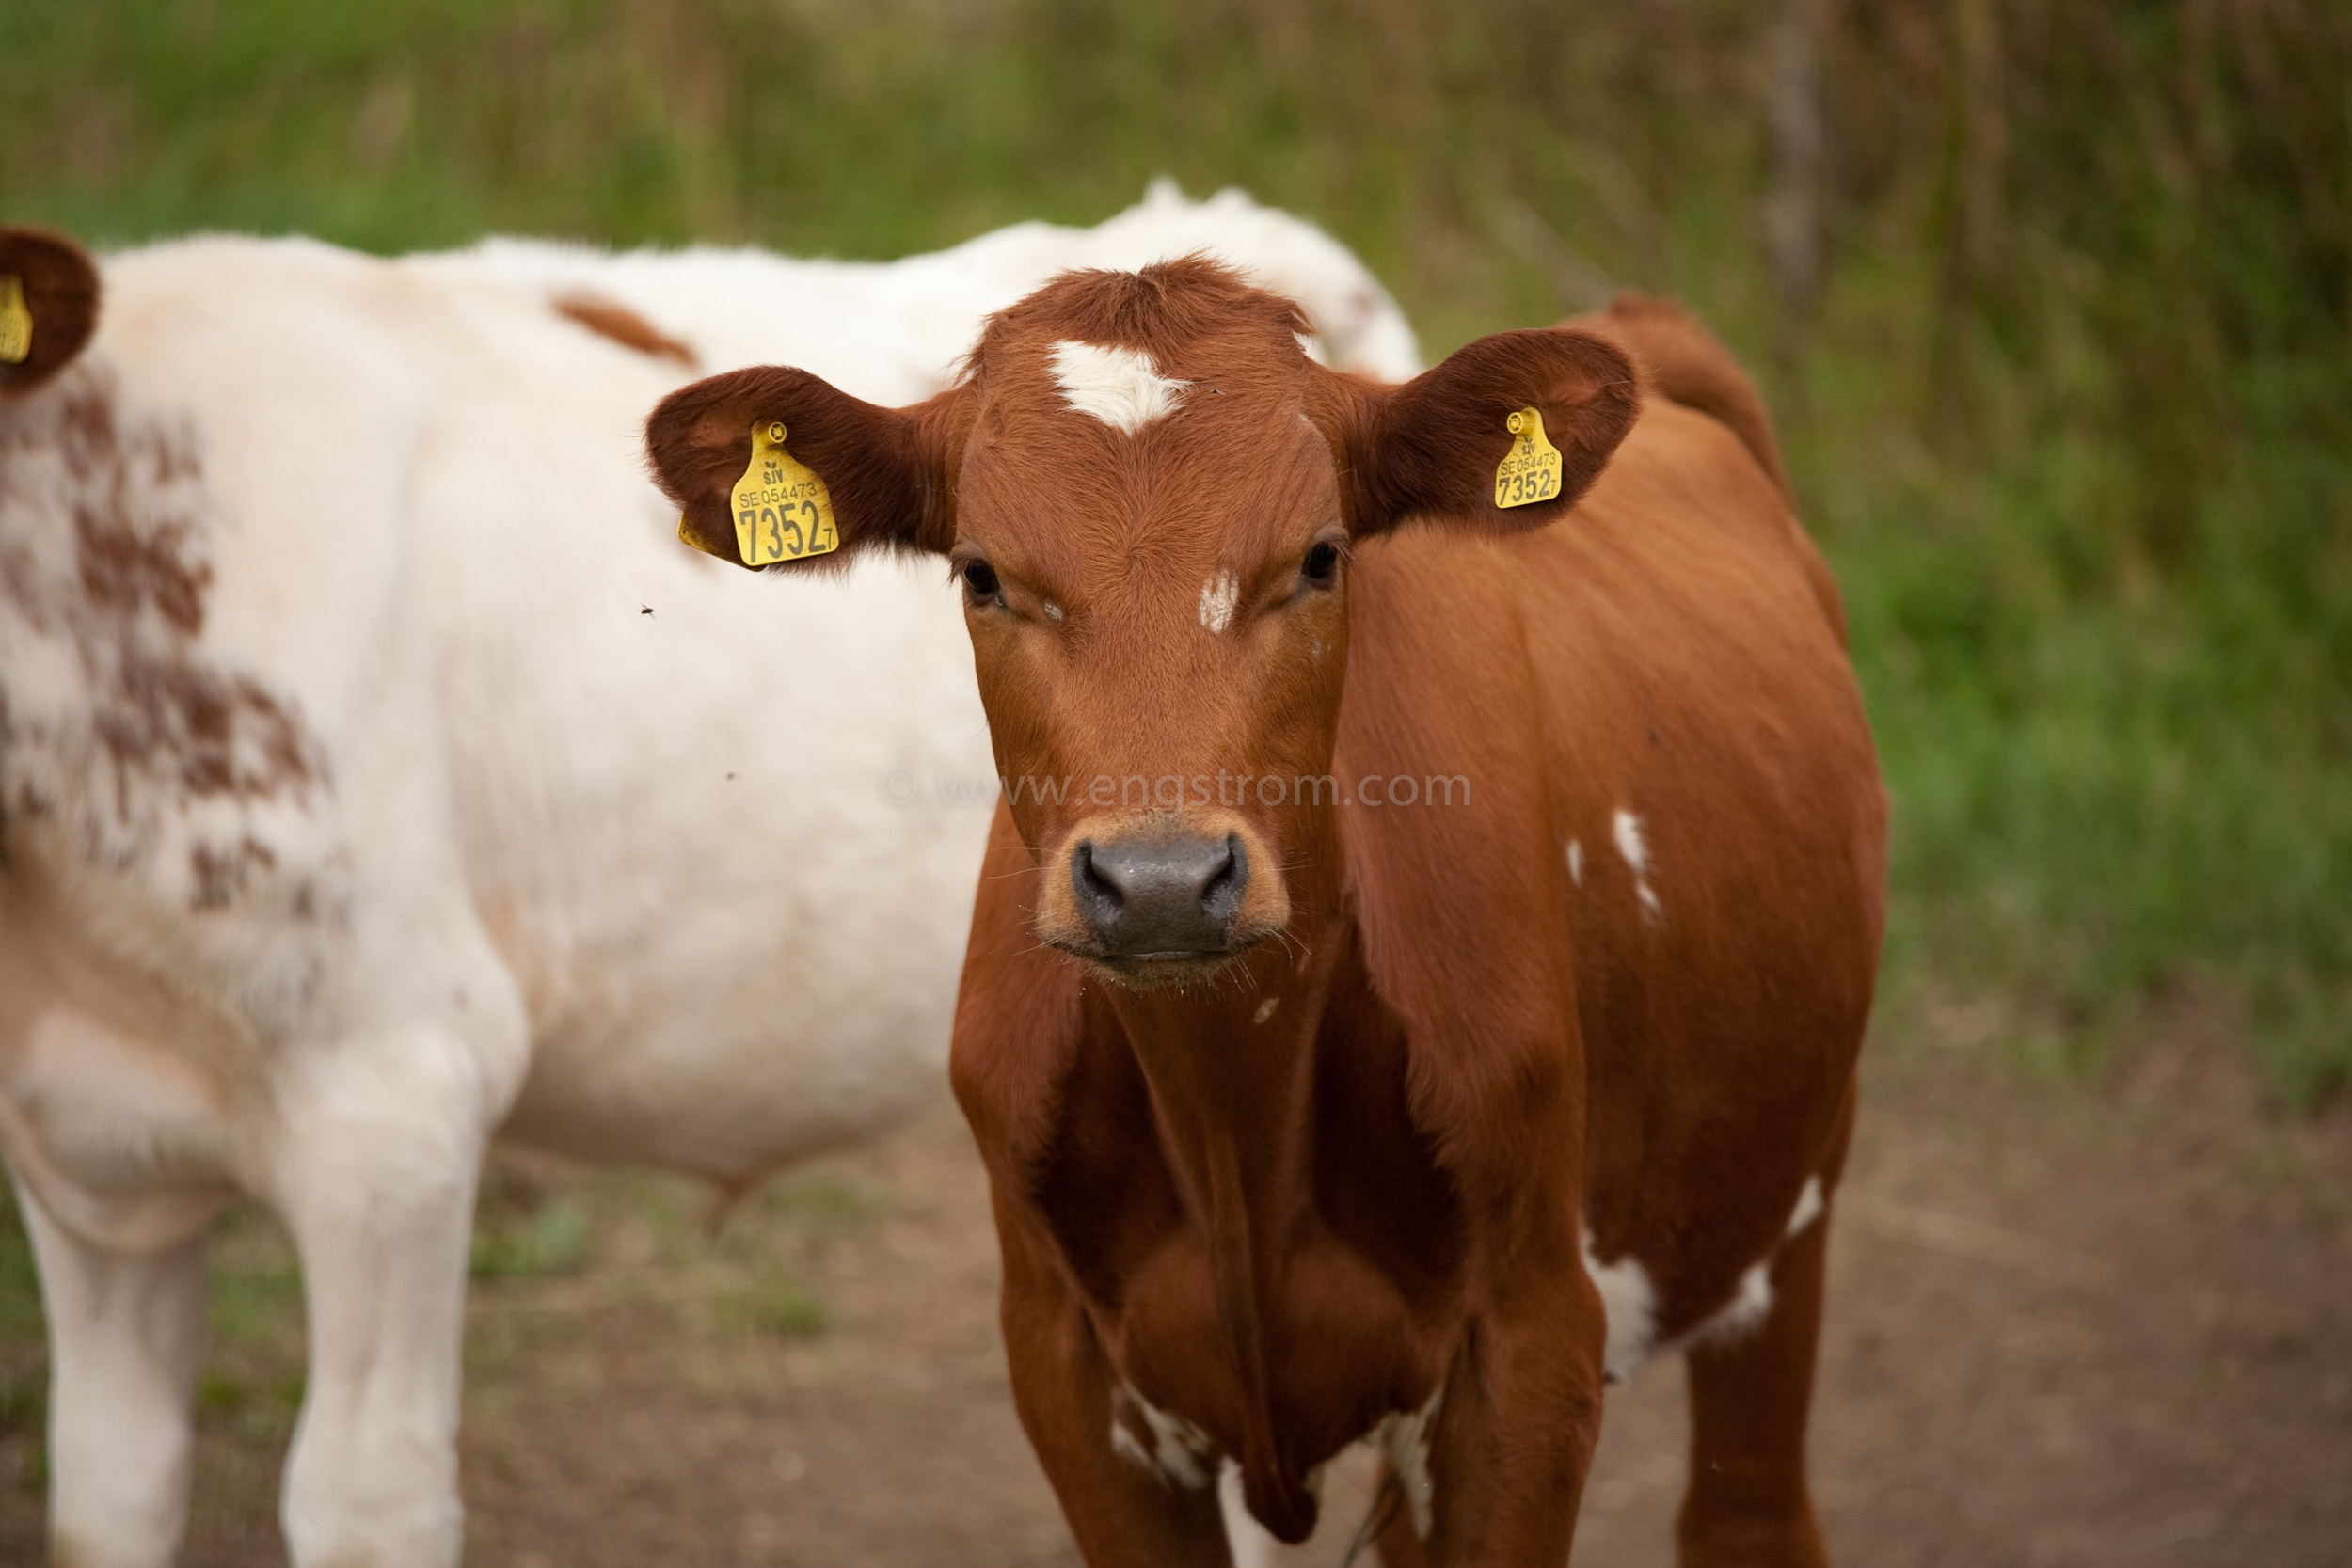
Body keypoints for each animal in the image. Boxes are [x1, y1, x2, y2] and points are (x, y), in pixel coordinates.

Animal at [649, 262, 1891, 1560]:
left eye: (1320, 556)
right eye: (981, 574)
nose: (1158, 878)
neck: (1231, 1121)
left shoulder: (1532, 1353)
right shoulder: (1067, 1369)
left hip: (1790, 1198)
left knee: (1747, 1508)